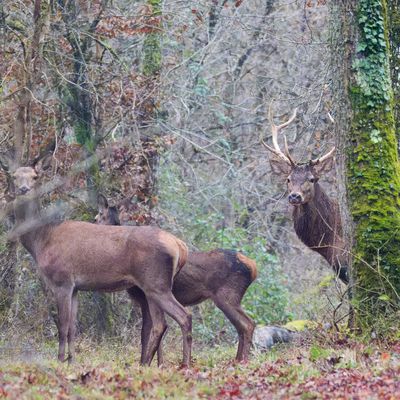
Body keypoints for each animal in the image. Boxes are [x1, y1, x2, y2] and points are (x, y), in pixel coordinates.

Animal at [7, 162, 192, 366]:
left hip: (156, 283)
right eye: (14, 176)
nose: (24, 189)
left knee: (182, 317)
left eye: (35, 177)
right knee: (161, 323)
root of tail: (180, 246)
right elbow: (72, 327)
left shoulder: (62, 281)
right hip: (153, 286)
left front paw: (60, 360)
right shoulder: (75, 288)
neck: (41, 240)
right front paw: (72, 361)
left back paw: (178, 364)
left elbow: (63, 325)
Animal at [95, 195, 258, 364]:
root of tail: (253, 267)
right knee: (243, 326)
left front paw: (146, 363)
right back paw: (237, 360)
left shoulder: (146, 298)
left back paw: (241, 361)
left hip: (226, 296)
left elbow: (146, 332)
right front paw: (159, 364)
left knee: (247, 324)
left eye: (98, 216)